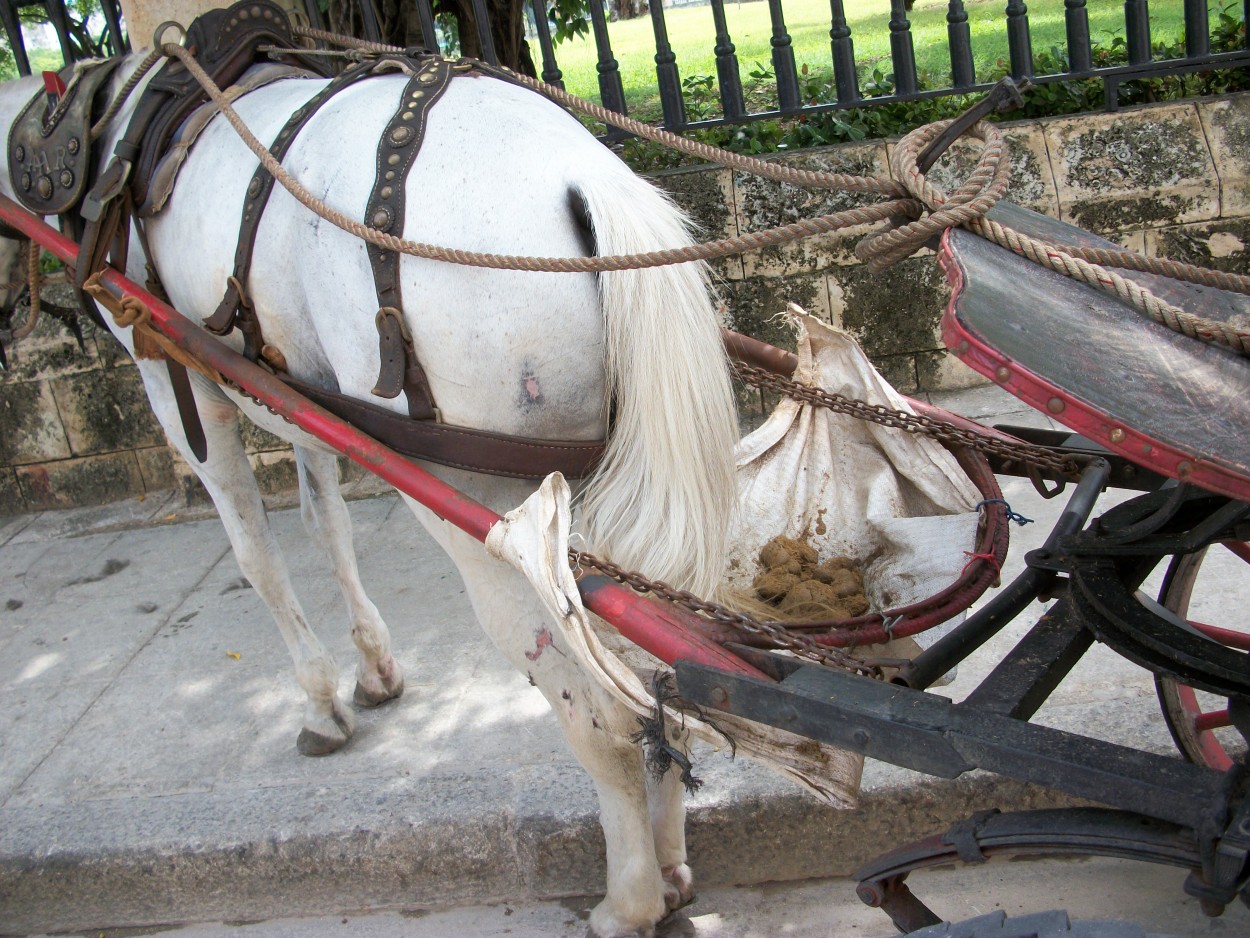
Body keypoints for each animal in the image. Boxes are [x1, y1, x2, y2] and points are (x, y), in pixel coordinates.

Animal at [0, 47, 740, 938]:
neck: (105, 122)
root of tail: (589, 174)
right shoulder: (299, 396)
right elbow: (327, 525)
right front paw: (374, 668)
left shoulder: (180, 385)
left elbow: (256, 556)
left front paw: (321, 703)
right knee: (656, 677)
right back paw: (668, 859)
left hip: (492, 517)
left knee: (598, 708)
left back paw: (628, 896)